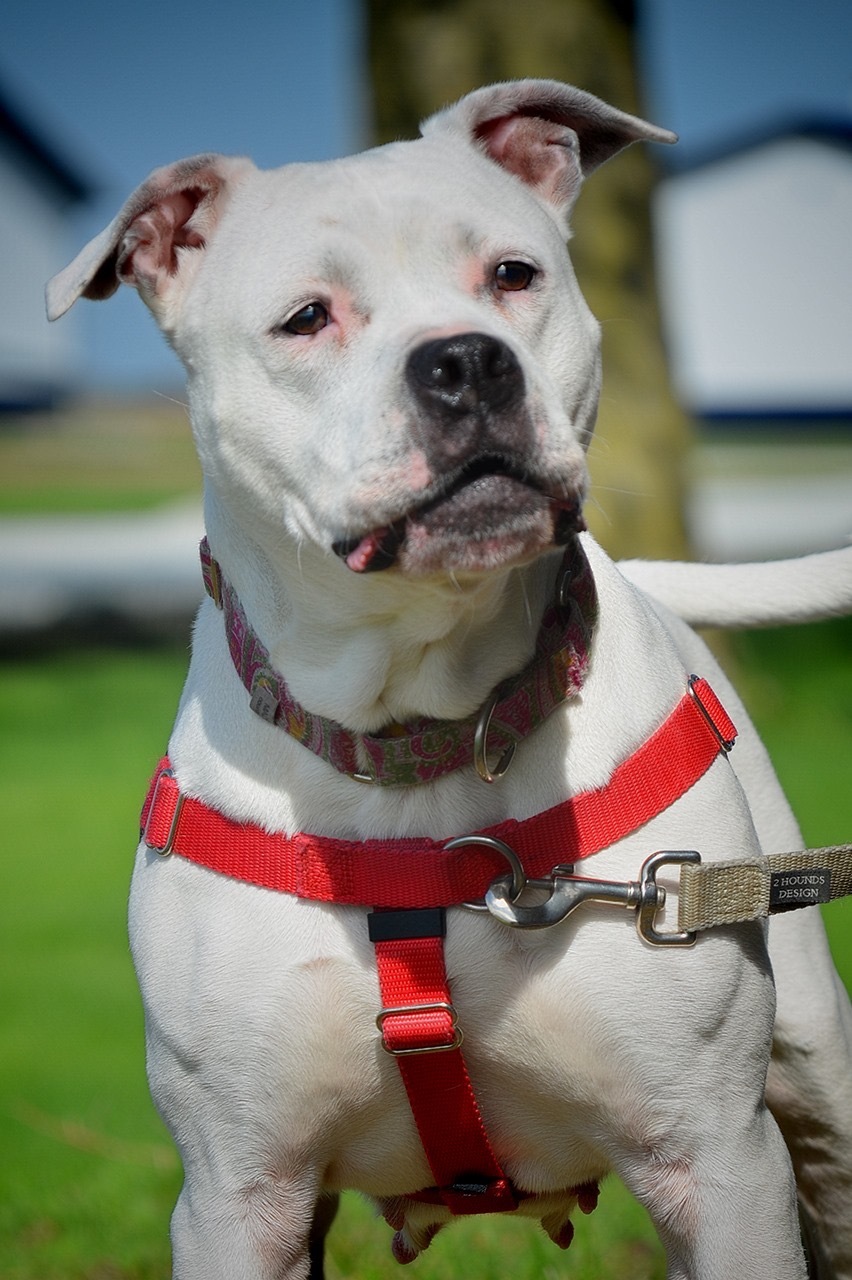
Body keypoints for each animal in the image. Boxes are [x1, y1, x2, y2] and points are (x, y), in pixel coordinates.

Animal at [47, 80, 849, 1280]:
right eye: (307, 318)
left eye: (513, 275)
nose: (468, 362)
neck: (415, 733)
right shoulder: (242, 1195)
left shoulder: (719, 1162)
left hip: (819, 1086)